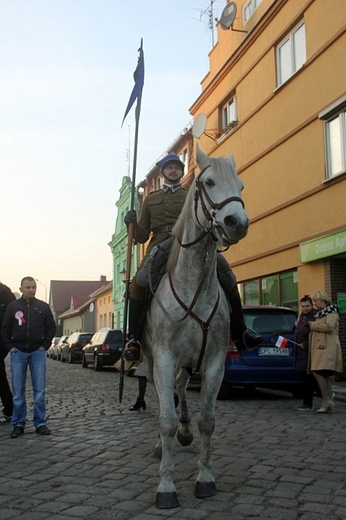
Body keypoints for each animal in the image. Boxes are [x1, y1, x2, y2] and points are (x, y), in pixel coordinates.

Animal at [141, 145, 249, 508]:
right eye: (210, 182)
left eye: (240, 186)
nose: (237, 223)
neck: (195, 285)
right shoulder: (163, 358)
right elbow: (165, 419)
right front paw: (166, 486)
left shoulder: (214, 362)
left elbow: (208, 421)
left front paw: (205, 478)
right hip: (151, 359)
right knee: (164, 399)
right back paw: (162, 445)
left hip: (191, 362)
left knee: (180, 387)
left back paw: (185, 433)